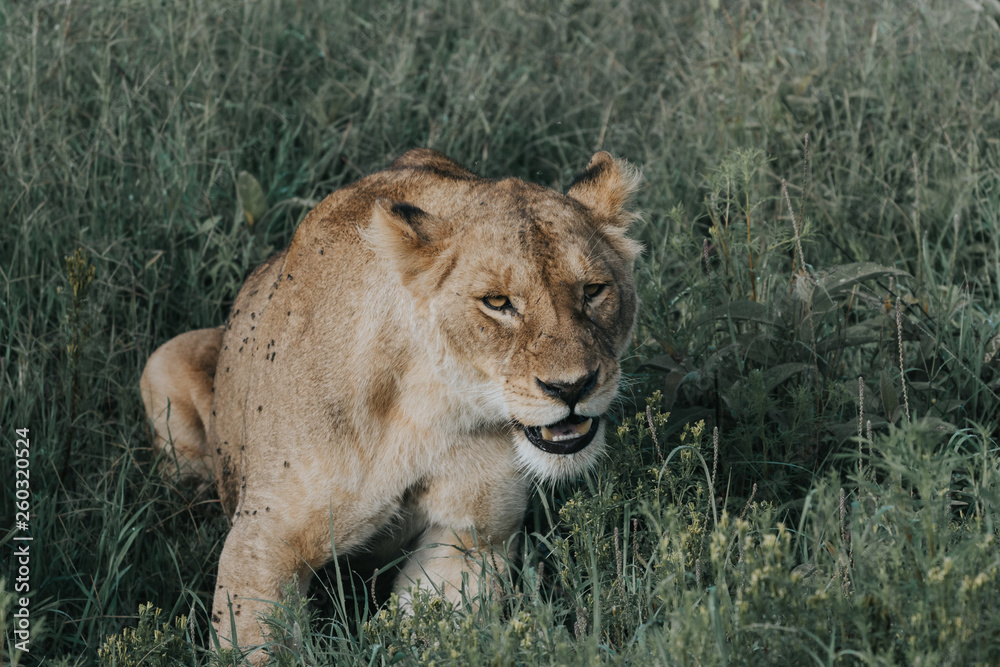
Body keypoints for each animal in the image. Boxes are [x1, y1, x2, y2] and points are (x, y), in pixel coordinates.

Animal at [140, 148, 641, 660]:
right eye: (497, 302)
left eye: (593, 290)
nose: (572, 387)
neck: (427, 408)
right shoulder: (261, 548)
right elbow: (257, 649)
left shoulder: (471, 539)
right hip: (165, 358)